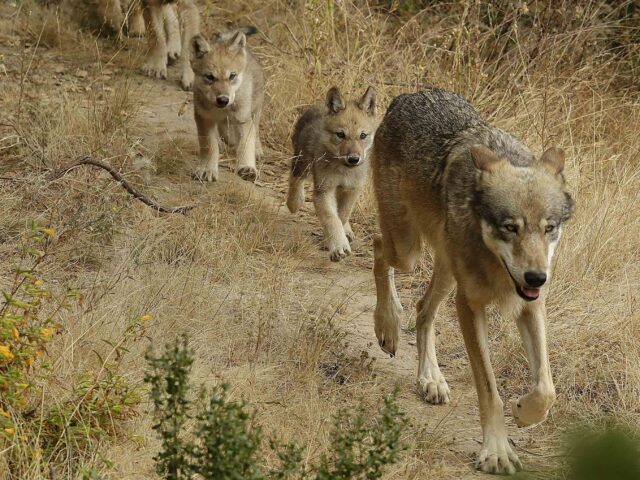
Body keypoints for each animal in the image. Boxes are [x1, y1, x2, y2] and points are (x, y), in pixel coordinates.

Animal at [189, 27, 264, 183]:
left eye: (232, 76)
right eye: (209, 77)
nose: (223, 100)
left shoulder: (243, 119)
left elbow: (246, 144)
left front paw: (247, 167)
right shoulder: (204, 119)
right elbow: (210, 146)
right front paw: (207, 169)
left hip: (255, 110)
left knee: (255, 130)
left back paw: (257, 149)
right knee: (228, 134)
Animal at [286, 86, 377, 261]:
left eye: (363, 136)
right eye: (340, 135)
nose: (353, 159)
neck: (344, 171)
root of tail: (318, 105)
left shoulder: (352, 190)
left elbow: (342, 216)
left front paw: (331, 240)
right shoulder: (323, 190)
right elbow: (332, 219)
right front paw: (338, 247)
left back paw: (347, 231)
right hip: (302, 161)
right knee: (295, 179)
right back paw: (294, 202)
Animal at [372, 88, 574, 474]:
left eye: (548, 228)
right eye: (510, 227)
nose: (537, 277)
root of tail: (409, 94)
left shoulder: (531, 305)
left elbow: (547, 389)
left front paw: (524, 413)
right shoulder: (470, 306)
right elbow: (489, 389)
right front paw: (497, 451)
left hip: (445, 272)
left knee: (422, 309)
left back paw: (430, 379)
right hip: (408, 251)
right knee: (377, 249)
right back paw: (387, 326)